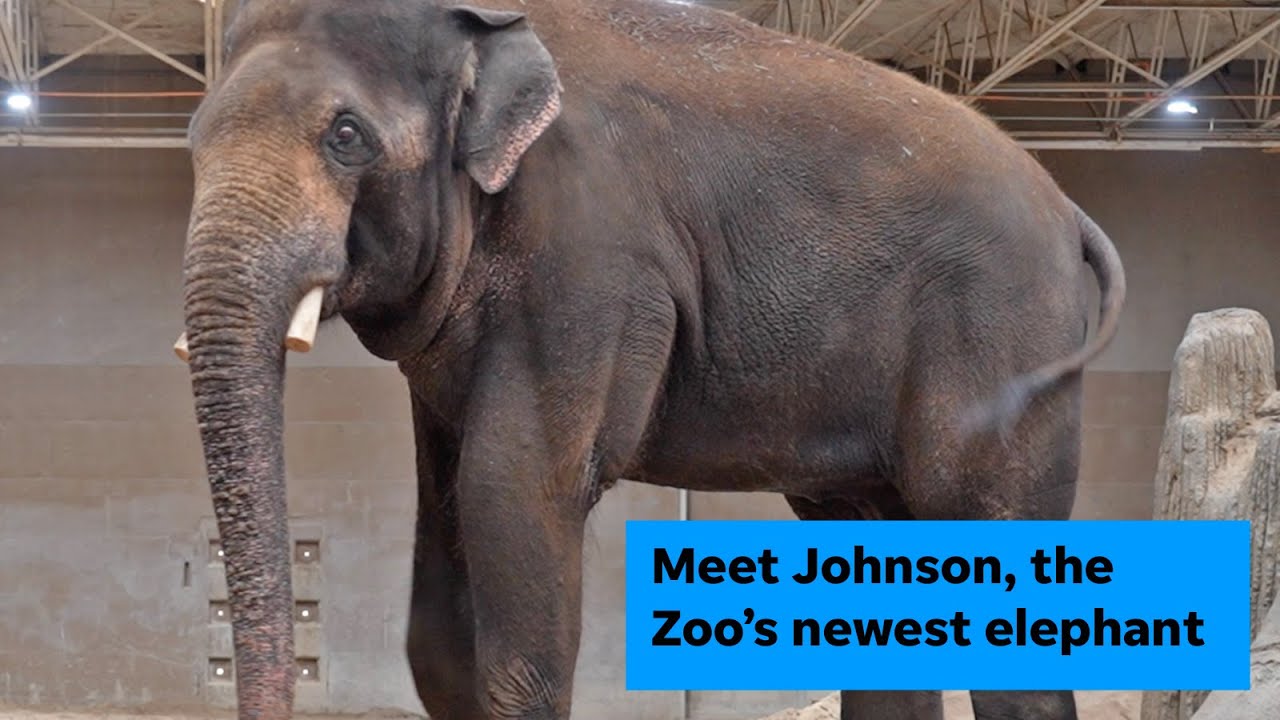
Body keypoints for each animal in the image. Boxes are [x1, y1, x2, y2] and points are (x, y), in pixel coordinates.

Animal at [175, 0, 1126, 719]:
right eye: (191, 141)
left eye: (345, 135)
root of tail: (1070, 210)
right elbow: (442, 559)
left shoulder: (592, 259)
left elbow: (511, 489)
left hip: (1007, 340)